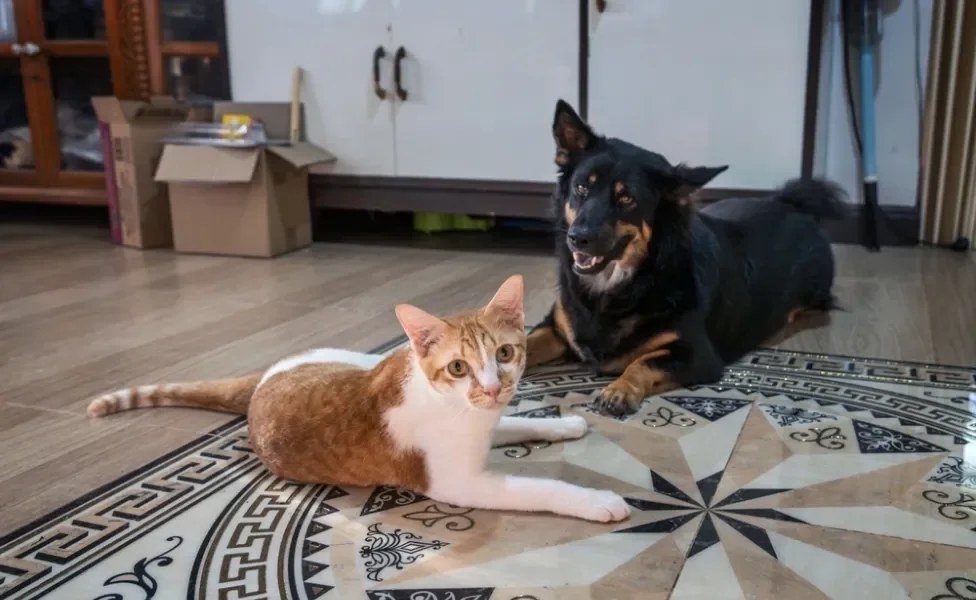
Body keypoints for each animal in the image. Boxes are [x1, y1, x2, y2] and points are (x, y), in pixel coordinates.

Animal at [89, 274, 632, 524]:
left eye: (505, 353)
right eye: (458, 367)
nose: (496, 387)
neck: (457, 410)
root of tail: (266, 376)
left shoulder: (488, 416)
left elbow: (517, 421)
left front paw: (561, 423)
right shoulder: (458, 482)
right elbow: (538, 487)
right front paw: (596, 500)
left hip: (360, 355)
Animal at [528, 101, 848, 414]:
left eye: (627, 199)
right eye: (581, 187)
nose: (577, 237)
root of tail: (792, 205)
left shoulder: (697, 355)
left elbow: (642, 362)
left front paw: (619, 390)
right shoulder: (555, 327)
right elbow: (522, 341)